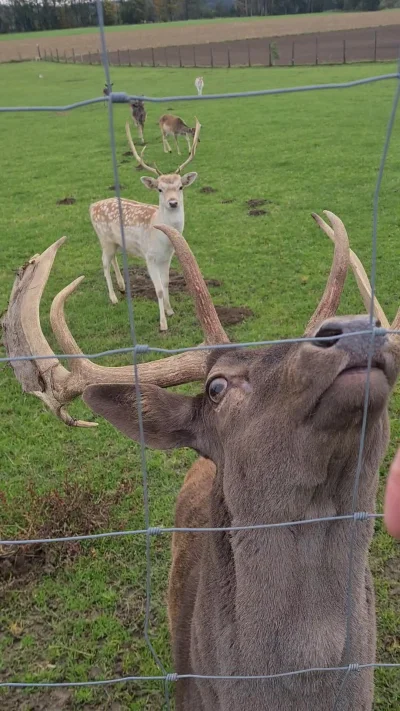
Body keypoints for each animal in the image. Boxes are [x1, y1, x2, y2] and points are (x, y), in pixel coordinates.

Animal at [87, 120, 200, 334]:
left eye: (180, 187)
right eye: (160, 189)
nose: (173, 203)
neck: (163, 240)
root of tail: (92, 206)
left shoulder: (167, 257)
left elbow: (166, 283)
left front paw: (170, 310)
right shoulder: (150, 257)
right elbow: (158, 289)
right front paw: (163, 324)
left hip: (115, 241)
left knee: (113, 259)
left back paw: (122, 286)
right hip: (103, 238)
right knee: (104, 262)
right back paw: (113, 297)